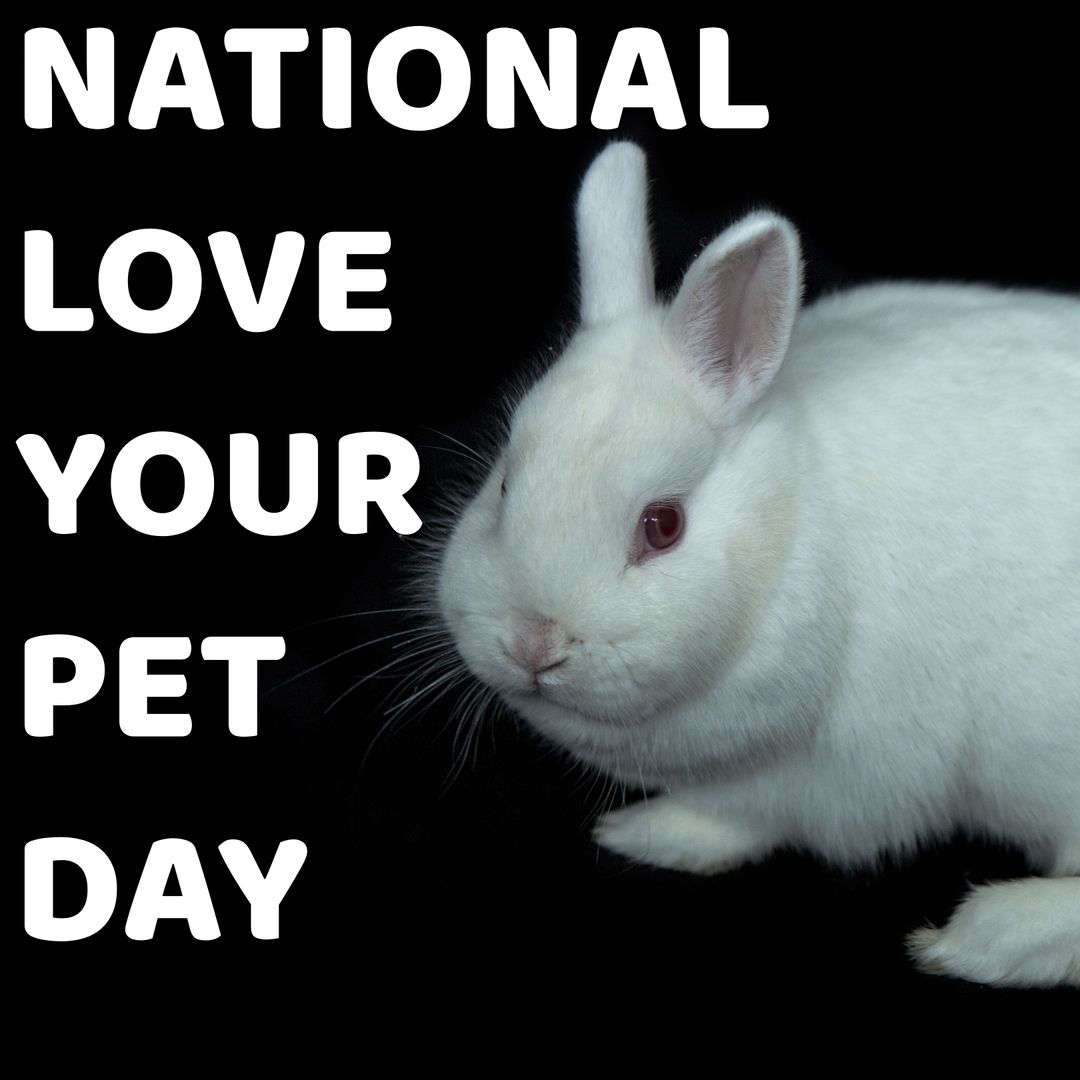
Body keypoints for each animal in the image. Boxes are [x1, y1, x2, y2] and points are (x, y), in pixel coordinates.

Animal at [435, 141, 1080, 989]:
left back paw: (979, 937)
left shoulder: (836, 781)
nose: (534, 643)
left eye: (663, 526)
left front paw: (648, 832)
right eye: (505, 486)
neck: (795, 519)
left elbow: (757, 818)